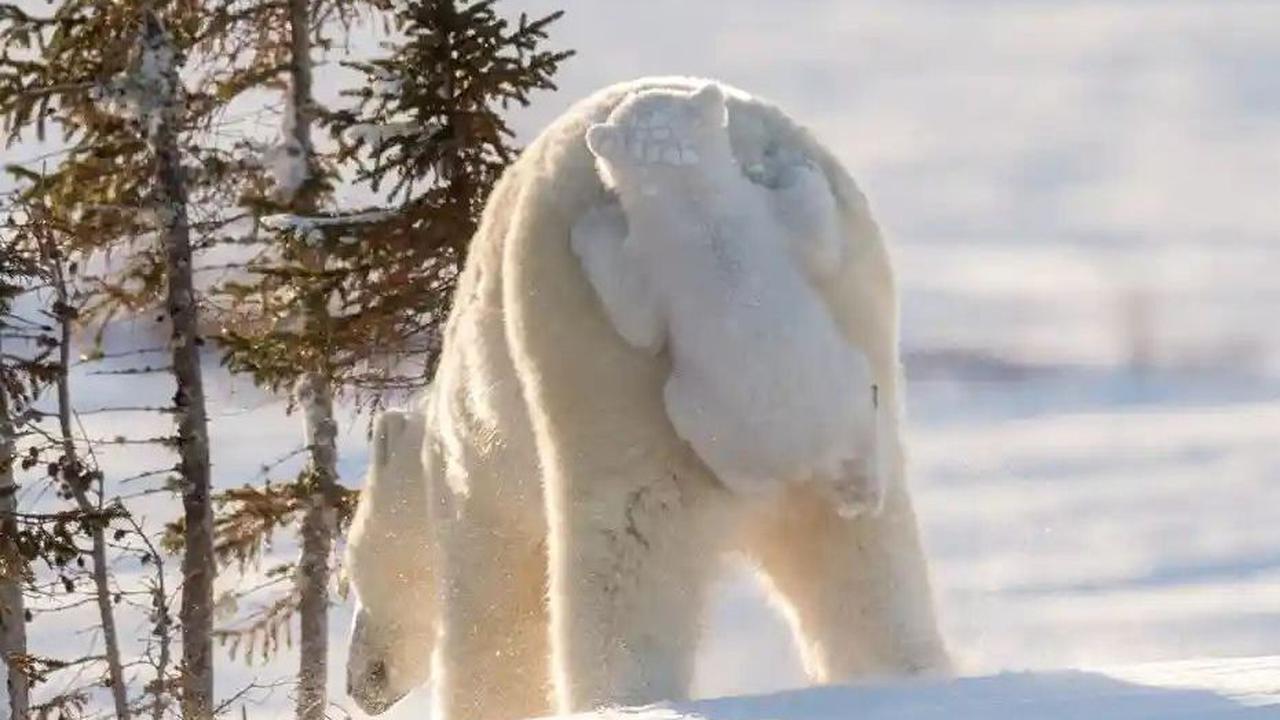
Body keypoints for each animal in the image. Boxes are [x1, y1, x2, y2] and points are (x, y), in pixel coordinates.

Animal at [571, 83, 884, 513]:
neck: (695, 203)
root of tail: (810, 456)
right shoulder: (761, 219)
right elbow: (816, 239)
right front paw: (799, 166)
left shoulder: (657, 257)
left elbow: (639, 326)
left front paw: (588, 225)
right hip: (835, 391)